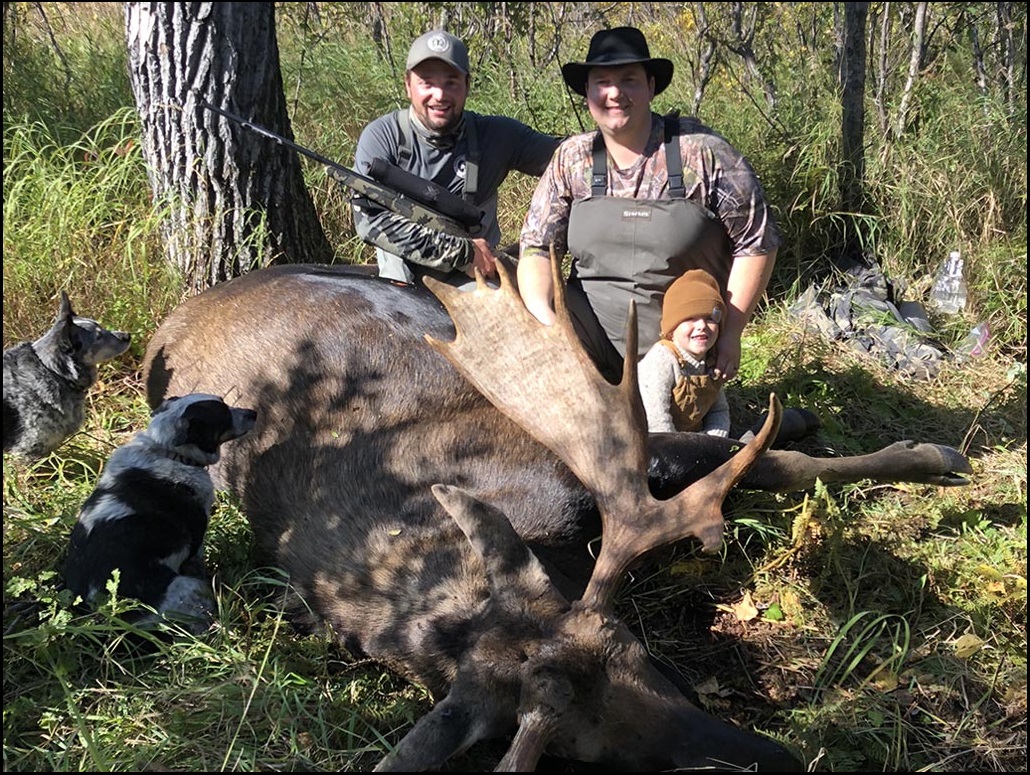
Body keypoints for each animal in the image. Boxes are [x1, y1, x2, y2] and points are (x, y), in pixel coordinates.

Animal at [62, 393, 257, 634]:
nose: (254, 413)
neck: (167, 452)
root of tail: (108, 616)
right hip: (189, 587)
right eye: (223, 415)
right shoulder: (196, 541)